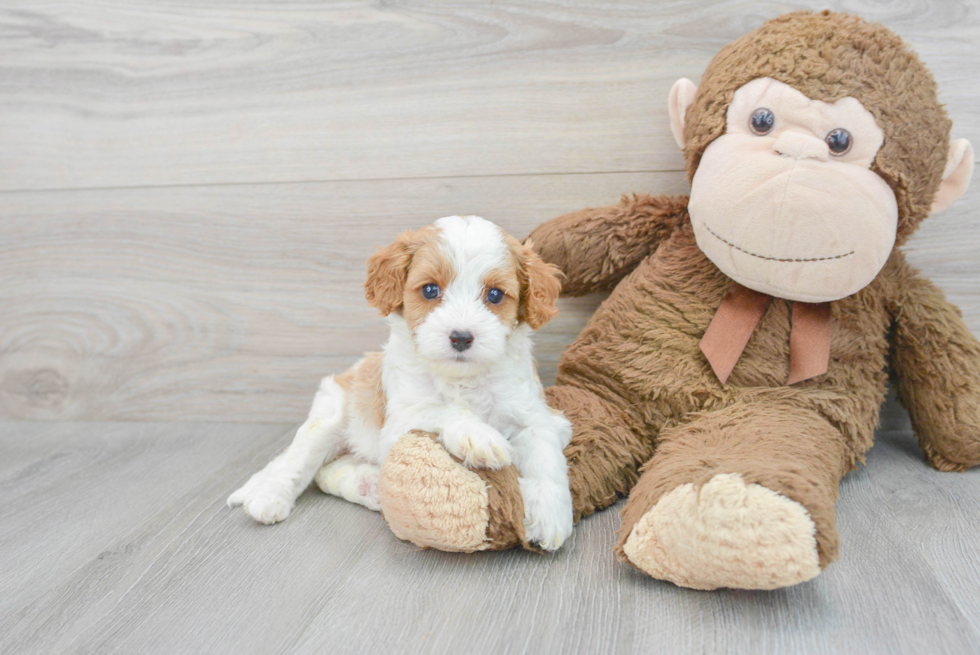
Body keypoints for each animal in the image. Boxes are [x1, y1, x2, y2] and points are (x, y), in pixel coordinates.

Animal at [227, 218, 576, 552]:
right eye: (430, 290)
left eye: (495, 295)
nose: (461, 337)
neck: (461, 377)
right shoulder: (401, 419)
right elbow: (444, 410)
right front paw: (478, 435)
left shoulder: (531, 415)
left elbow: (546, 459)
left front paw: (550, 517)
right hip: (329, 415)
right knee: (296, 462)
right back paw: (268, 495)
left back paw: (369, 485)